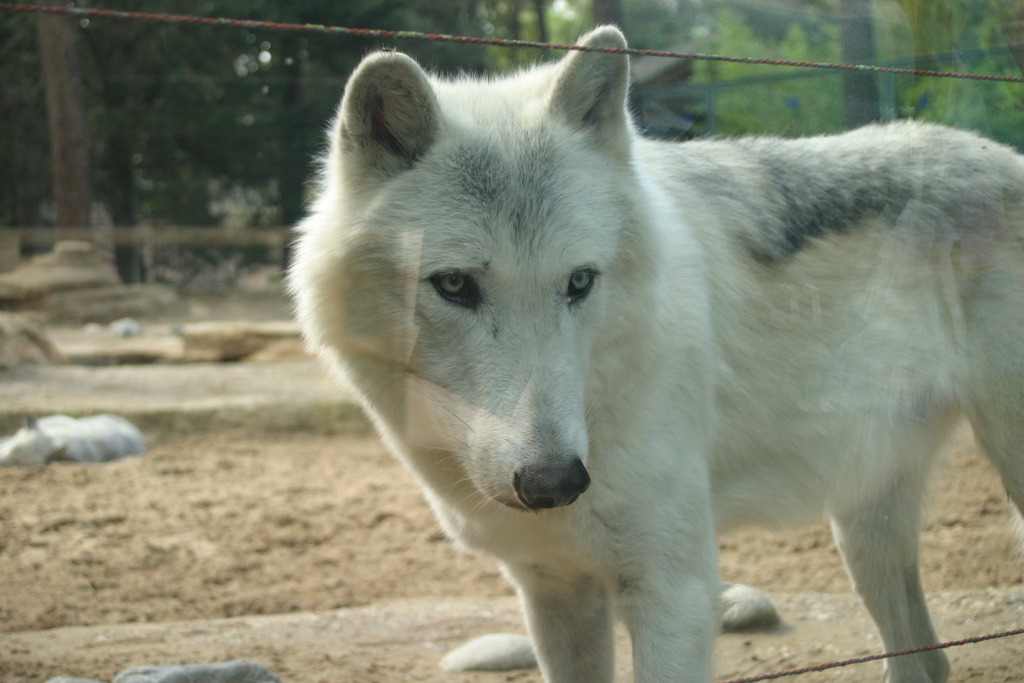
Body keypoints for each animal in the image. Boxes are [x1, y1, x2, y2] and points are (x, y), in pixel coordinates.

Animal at [287, 26, 1024, 683]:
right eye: (454, 285)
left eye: (580, 281)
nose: (556, 481)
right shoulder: (555, 592)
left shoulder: (676, 590)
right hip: (862, 523)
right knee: (927, 662)